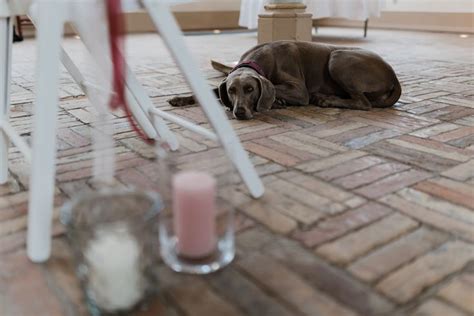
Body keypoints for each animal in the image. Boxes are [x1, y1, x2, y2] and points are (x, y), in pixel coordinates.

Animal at [168, 41, 402, 120]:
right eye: (232, 90)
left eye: (250, 89)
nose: (239, 112)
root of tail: (393, 74)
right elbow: (210, 90)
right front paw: (180, 99)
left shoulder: (299, 90)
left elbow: (278, 89)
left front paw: (275, 102)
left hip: (338, 58)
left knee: (363, 103)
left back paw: (325, 99)